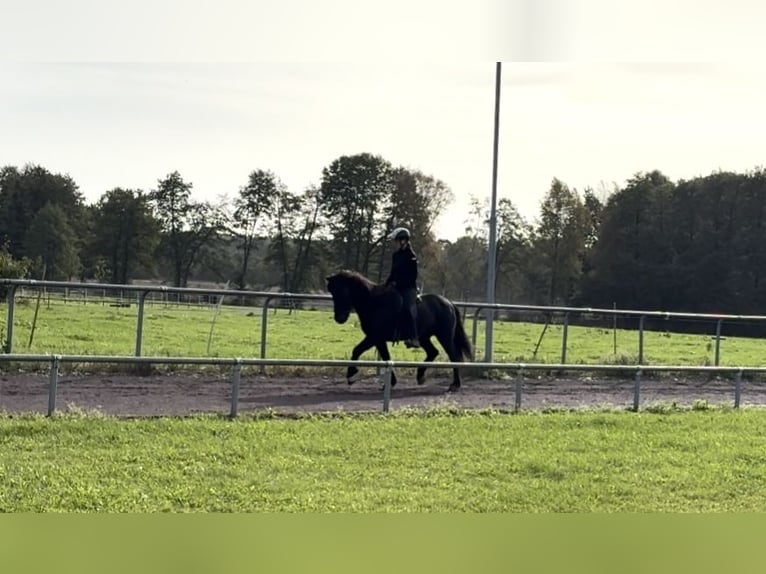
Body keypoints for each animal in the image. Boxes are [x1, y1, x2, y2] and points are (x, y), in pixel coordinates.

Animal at [325, 270, 473, 392]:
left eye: (343, 291)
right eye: (332, 292)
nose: (339, 318)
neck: (374, 303)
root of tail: (449, 303)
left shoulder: (374, 337)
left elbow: (357, 350)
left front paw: (351, 375)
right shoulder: (378, 339)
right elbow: (386, 357)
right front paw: (391, 383)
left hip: (444, 337)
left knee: (454, 356)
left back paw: (455, 385)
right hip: (424, 337)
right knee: (433, 352)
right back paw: (420, 376)